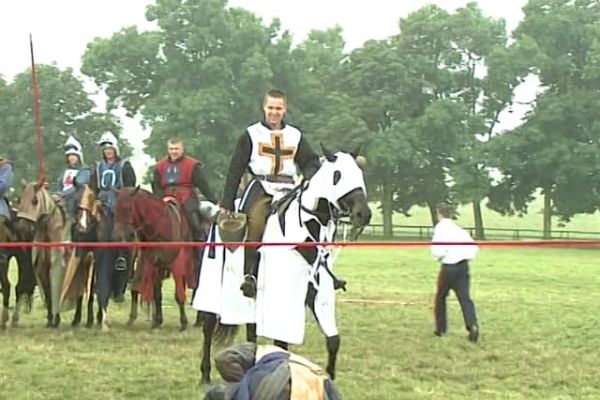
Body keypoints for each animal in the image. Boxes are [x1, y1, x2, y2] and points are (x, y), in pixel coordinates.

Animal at [112, 188, 197, 332]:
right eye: (115, 209)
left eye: (127, 208)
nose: (118, 235)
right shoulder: (156, 265)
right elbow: (157, 294)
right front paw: (157, 321)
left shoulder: (177, 265)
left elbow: (178, 293)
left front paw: (183, 322)